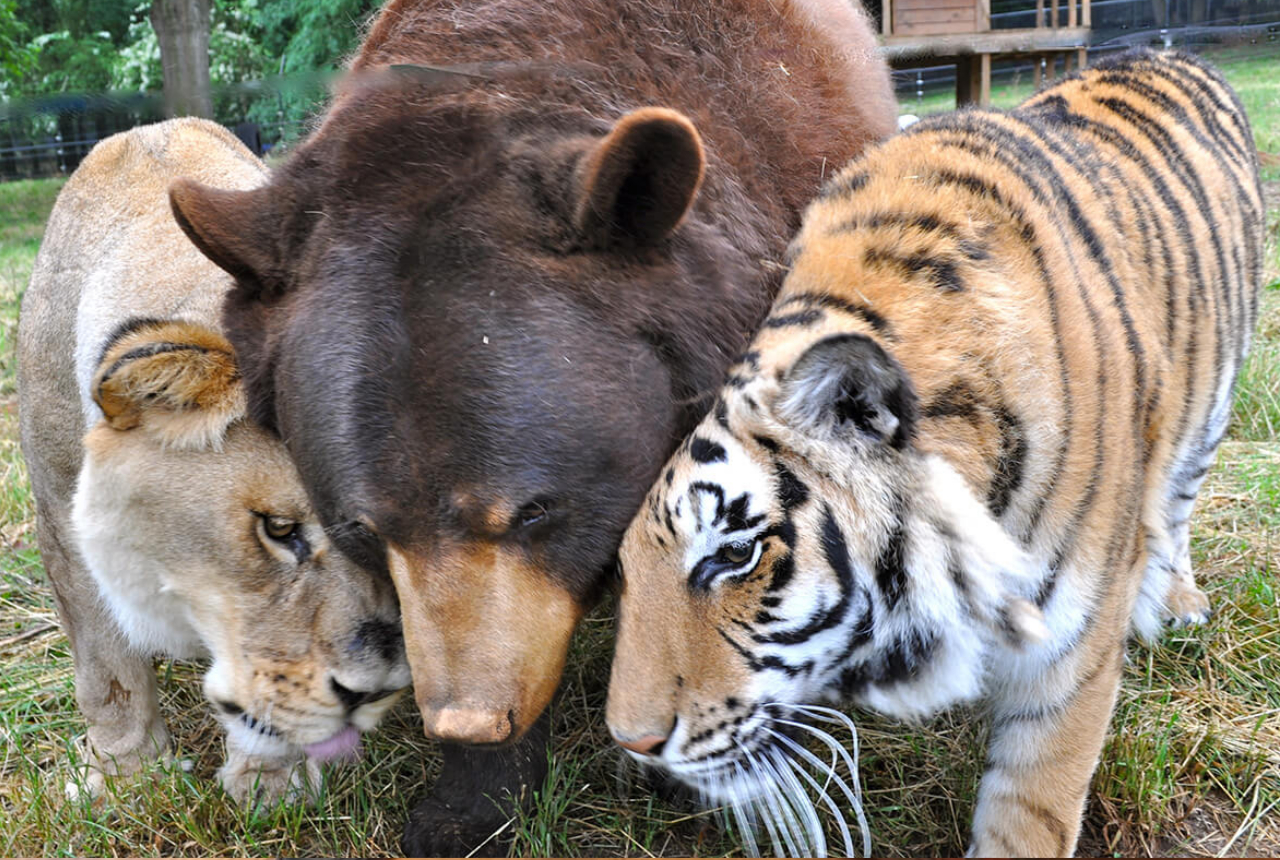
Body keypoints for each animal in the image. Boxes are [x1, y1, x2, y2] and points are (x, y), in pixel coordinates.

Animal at [17, 117, 412, 803]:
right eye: (278, 530)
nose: (376, 692)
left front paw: (271, 785)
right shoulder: (60, 517)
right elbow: (106, 669)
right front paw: (126, 779)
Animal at [601, 50, 1259, 854]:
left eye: (734, 555)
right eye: (626, 567)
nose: (631, 744)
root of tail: (1169, 50)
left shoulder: (1069, 654)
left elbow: (1031, 811)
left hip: (1212, 410)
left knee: (1178, 500)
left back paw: (1178, 600)